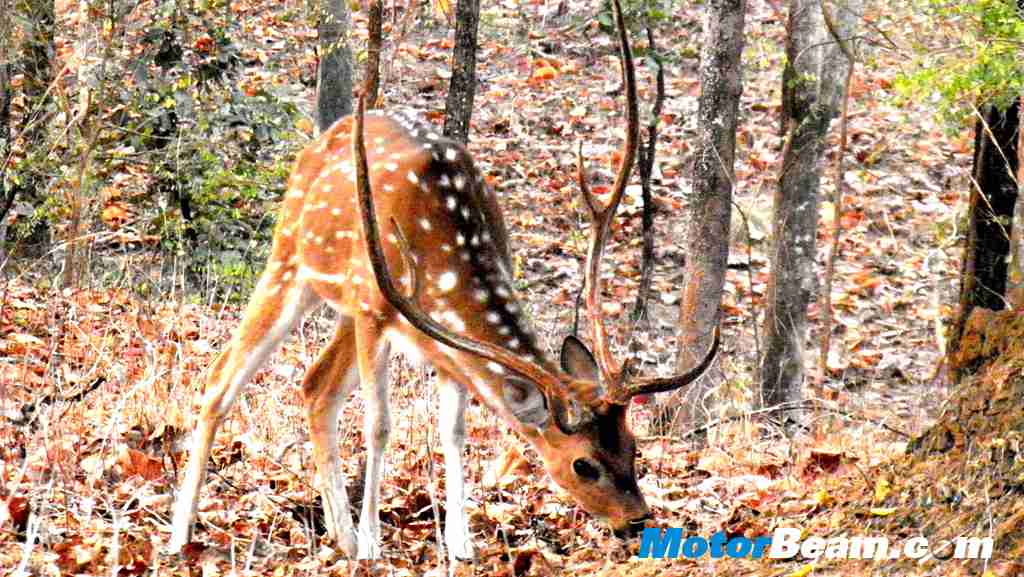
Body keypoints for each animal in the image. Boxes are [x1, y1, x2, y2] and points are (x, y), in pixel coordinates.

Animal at [168, 0, 719, 563]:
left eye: (634, 447)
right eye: (582, 464)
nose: (637, 520)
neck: (452, 248)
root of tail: (322, 138)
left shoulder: (442, 340)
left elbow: (453, 430)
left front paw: (459, 543)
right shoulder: (375, 309)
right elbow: (379, 425)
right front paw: (373, 545)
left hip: (343, 305)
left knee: (316, 385)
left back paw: (339, 534)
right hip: (289, 262)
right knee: (220, 378)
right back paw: (181, 532)